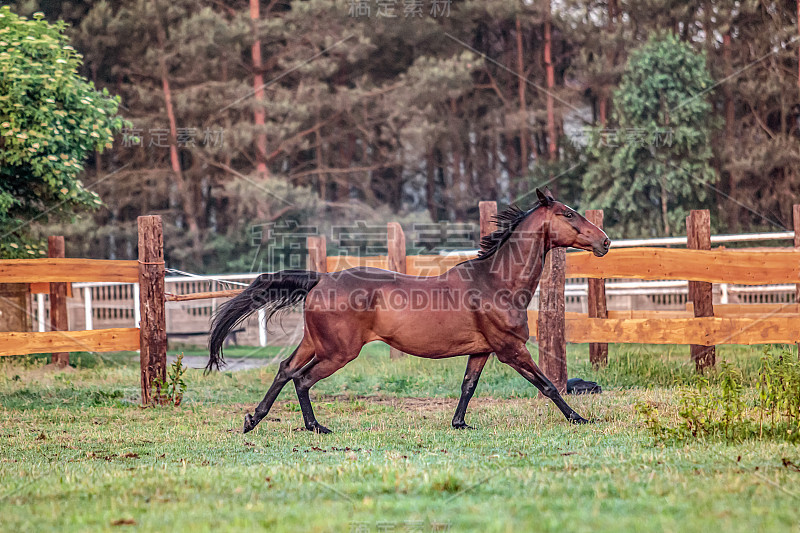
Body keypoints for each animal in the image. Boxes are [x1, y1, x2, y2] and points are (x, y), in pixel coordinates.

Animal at [206, 189, 608, 434]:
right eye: (568, 213)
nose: (604, 241)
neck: (496, 282)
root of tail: (322, 278)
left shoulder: (482, 350)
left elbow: (468, 386)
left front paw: (459, 424)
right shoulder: (511, 349)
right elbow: (548, 384)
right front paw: (580, 418)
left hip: (315, 342)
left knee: (285, 369)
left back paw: (253, 419)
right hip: (338, 351)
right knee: (302, 379)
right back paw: (315, 427)